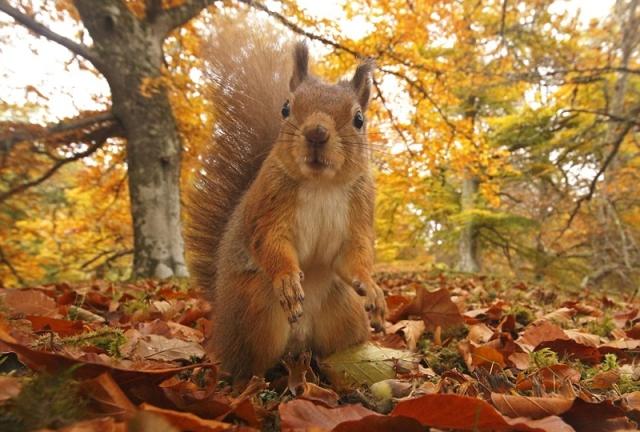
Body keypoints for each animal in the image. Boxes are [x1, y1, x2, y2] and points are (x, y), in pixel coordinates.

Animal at [185, 27, 384, 382]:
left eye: (359, 119)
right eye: (286, 108)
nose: (317, 133)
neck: (321, 184)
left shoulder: (361, 207)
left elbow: (353, 255)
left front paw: (371, 285)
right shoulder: (269, 204)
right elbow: (270, 242)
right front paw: (288, 278)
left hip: (345, 312)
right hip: (255, 310)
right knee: (248, 365)